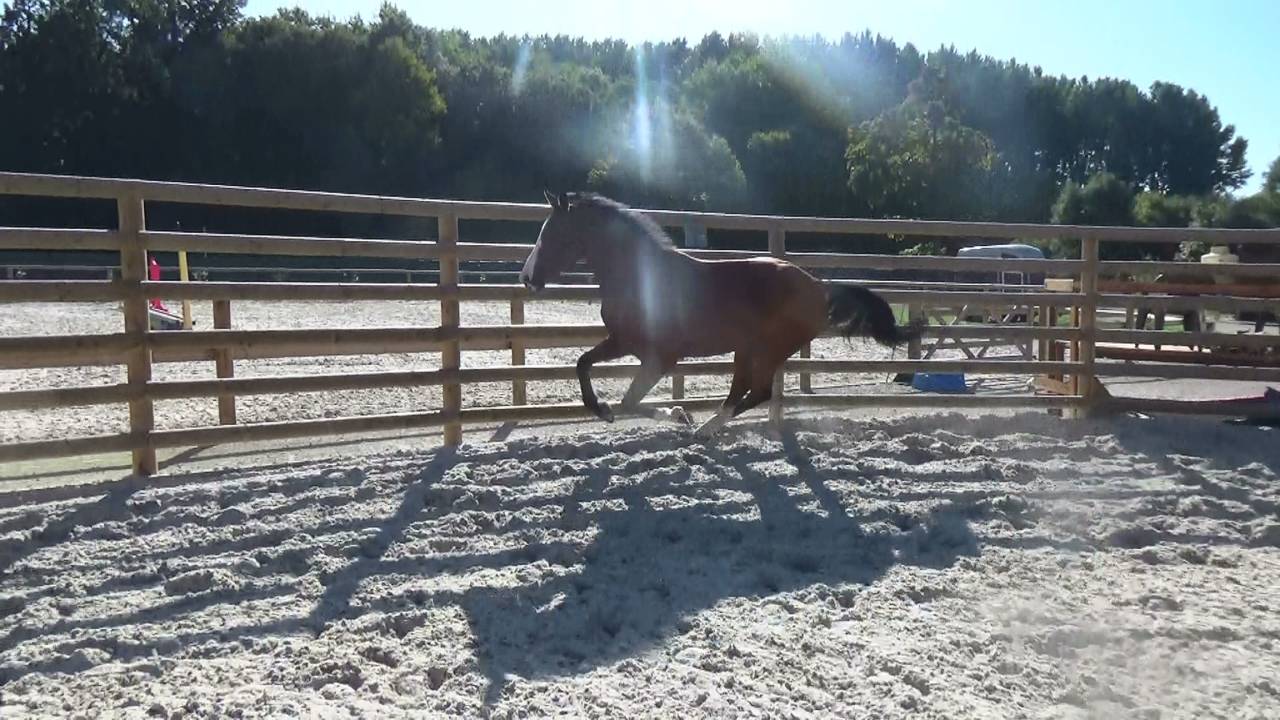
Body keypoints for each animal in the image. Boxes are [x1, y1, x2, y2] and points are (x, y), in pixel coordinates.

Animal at [519, 191, 923, 437]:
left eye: (551, 235)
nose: (527, 279)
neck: (640, 276)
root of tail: (818, 287)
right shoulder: (623, 341)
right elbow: (583, 364)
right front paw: (601, 409)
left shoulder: (661, 356)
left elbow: (630, 401)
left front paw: (679, 415)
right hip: (746, 348)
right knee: (745, 389)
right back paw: (708, 428)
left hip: (770, 348)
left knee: (757, 391)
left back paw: (705, 429)